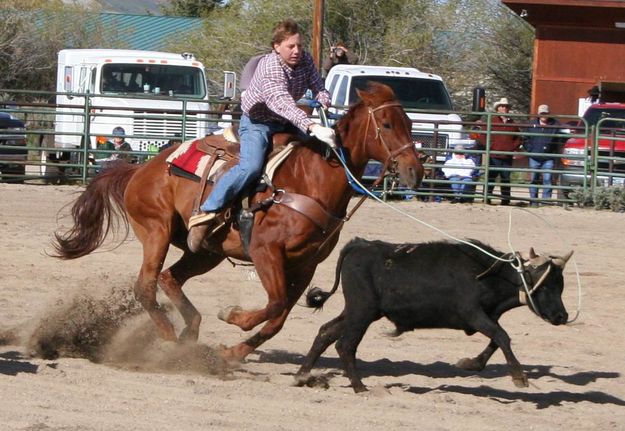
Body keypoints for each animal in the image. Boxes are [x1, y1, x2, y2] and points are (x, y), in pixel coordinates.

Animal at [53, 82, 424, 362]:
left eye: (408, 122)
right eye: (387, 124)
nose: (415, 171)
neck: (311, 179)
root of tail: (142, 168)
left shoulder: (306, 265)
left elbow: (278, 318)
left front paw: (234, 352)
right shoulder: (265, 251)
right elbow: (274, 303)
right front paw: (232, 316)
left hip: (207, 251)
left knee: (170, 278)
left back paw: (190, 332)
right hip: (156, 230)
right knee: (146, 285)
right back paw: (170, 337)